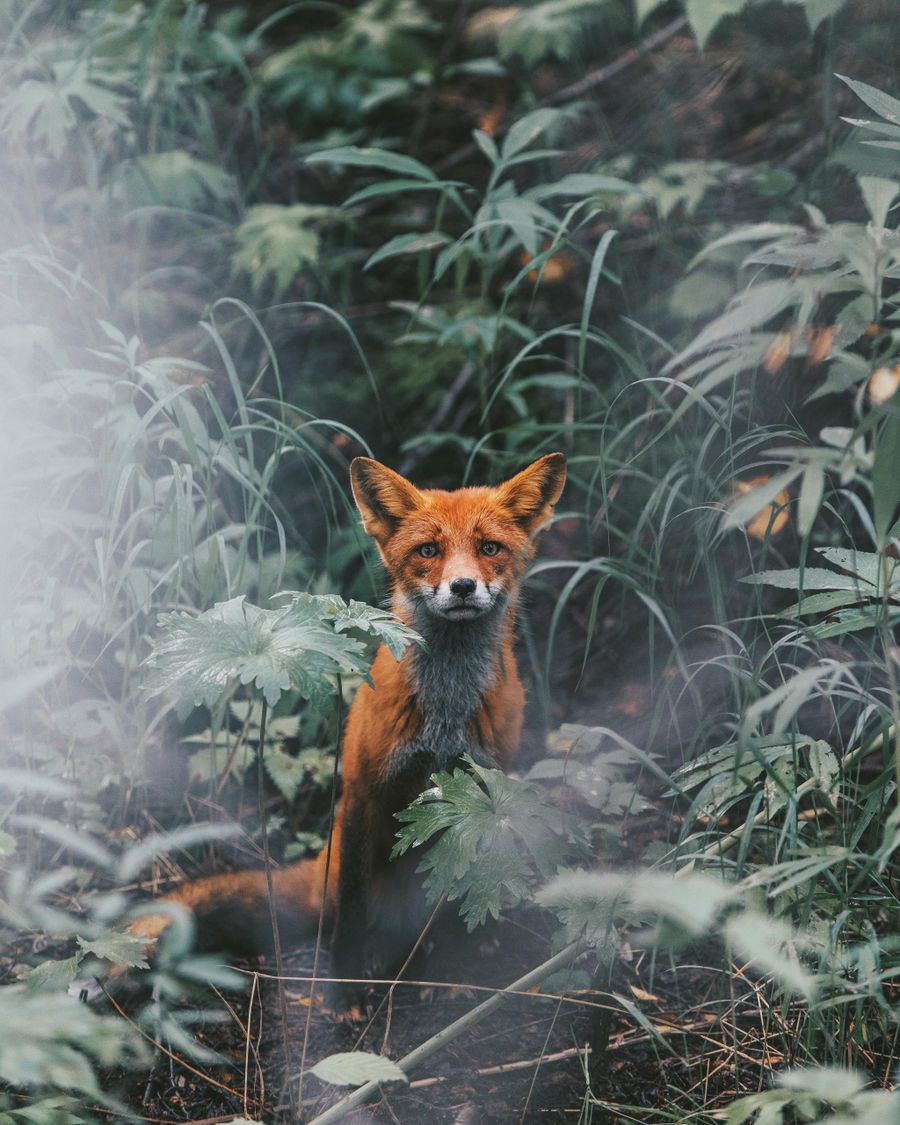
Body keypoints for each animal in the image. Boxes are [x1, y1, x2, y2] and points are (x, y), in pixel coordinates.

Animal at [128, 452, 567, 1006]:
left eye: (490, 548)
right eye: (429, 550)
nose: (463, 587)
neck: (444, 716)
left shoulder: (484, 793)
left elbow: (467, 886)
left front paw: (465, 959)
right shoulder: (363, 790)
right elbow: (352, 912)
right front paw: (345, 988)